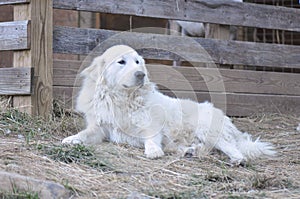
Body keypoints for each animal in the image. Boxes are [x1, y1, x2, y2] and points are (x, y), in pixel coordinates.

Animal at [62, 45, 276, 165]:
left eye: (138, 62)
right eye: (121, 62)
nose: (141, 74)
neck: (122, 98)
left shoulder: (151, 125)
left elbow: (150, 137)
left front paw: (153, 151)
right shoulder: (101, 128)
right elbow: (84, 134)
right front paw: (71, 139)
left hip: (207, 129)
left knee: (232, 148)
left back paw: (236, 160)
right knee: (203, 147)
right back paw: (190, 151)